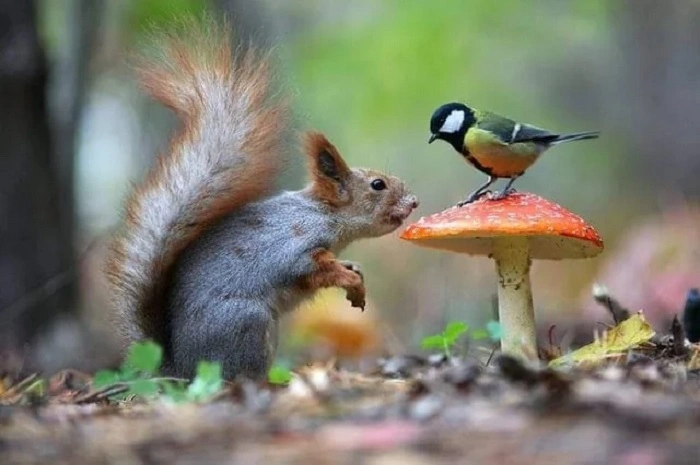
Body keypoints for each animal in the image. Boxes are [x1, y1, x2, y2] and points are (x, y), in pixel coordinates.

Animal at [105, 18, 419, 380]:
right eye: (377, 185)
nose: (414, 201)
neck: (324, 214)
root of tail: (183, 370)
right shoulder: (293, 246)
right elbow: (311, 268)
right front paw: (350, 278)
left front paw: (356, 274)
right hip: (248, 325)